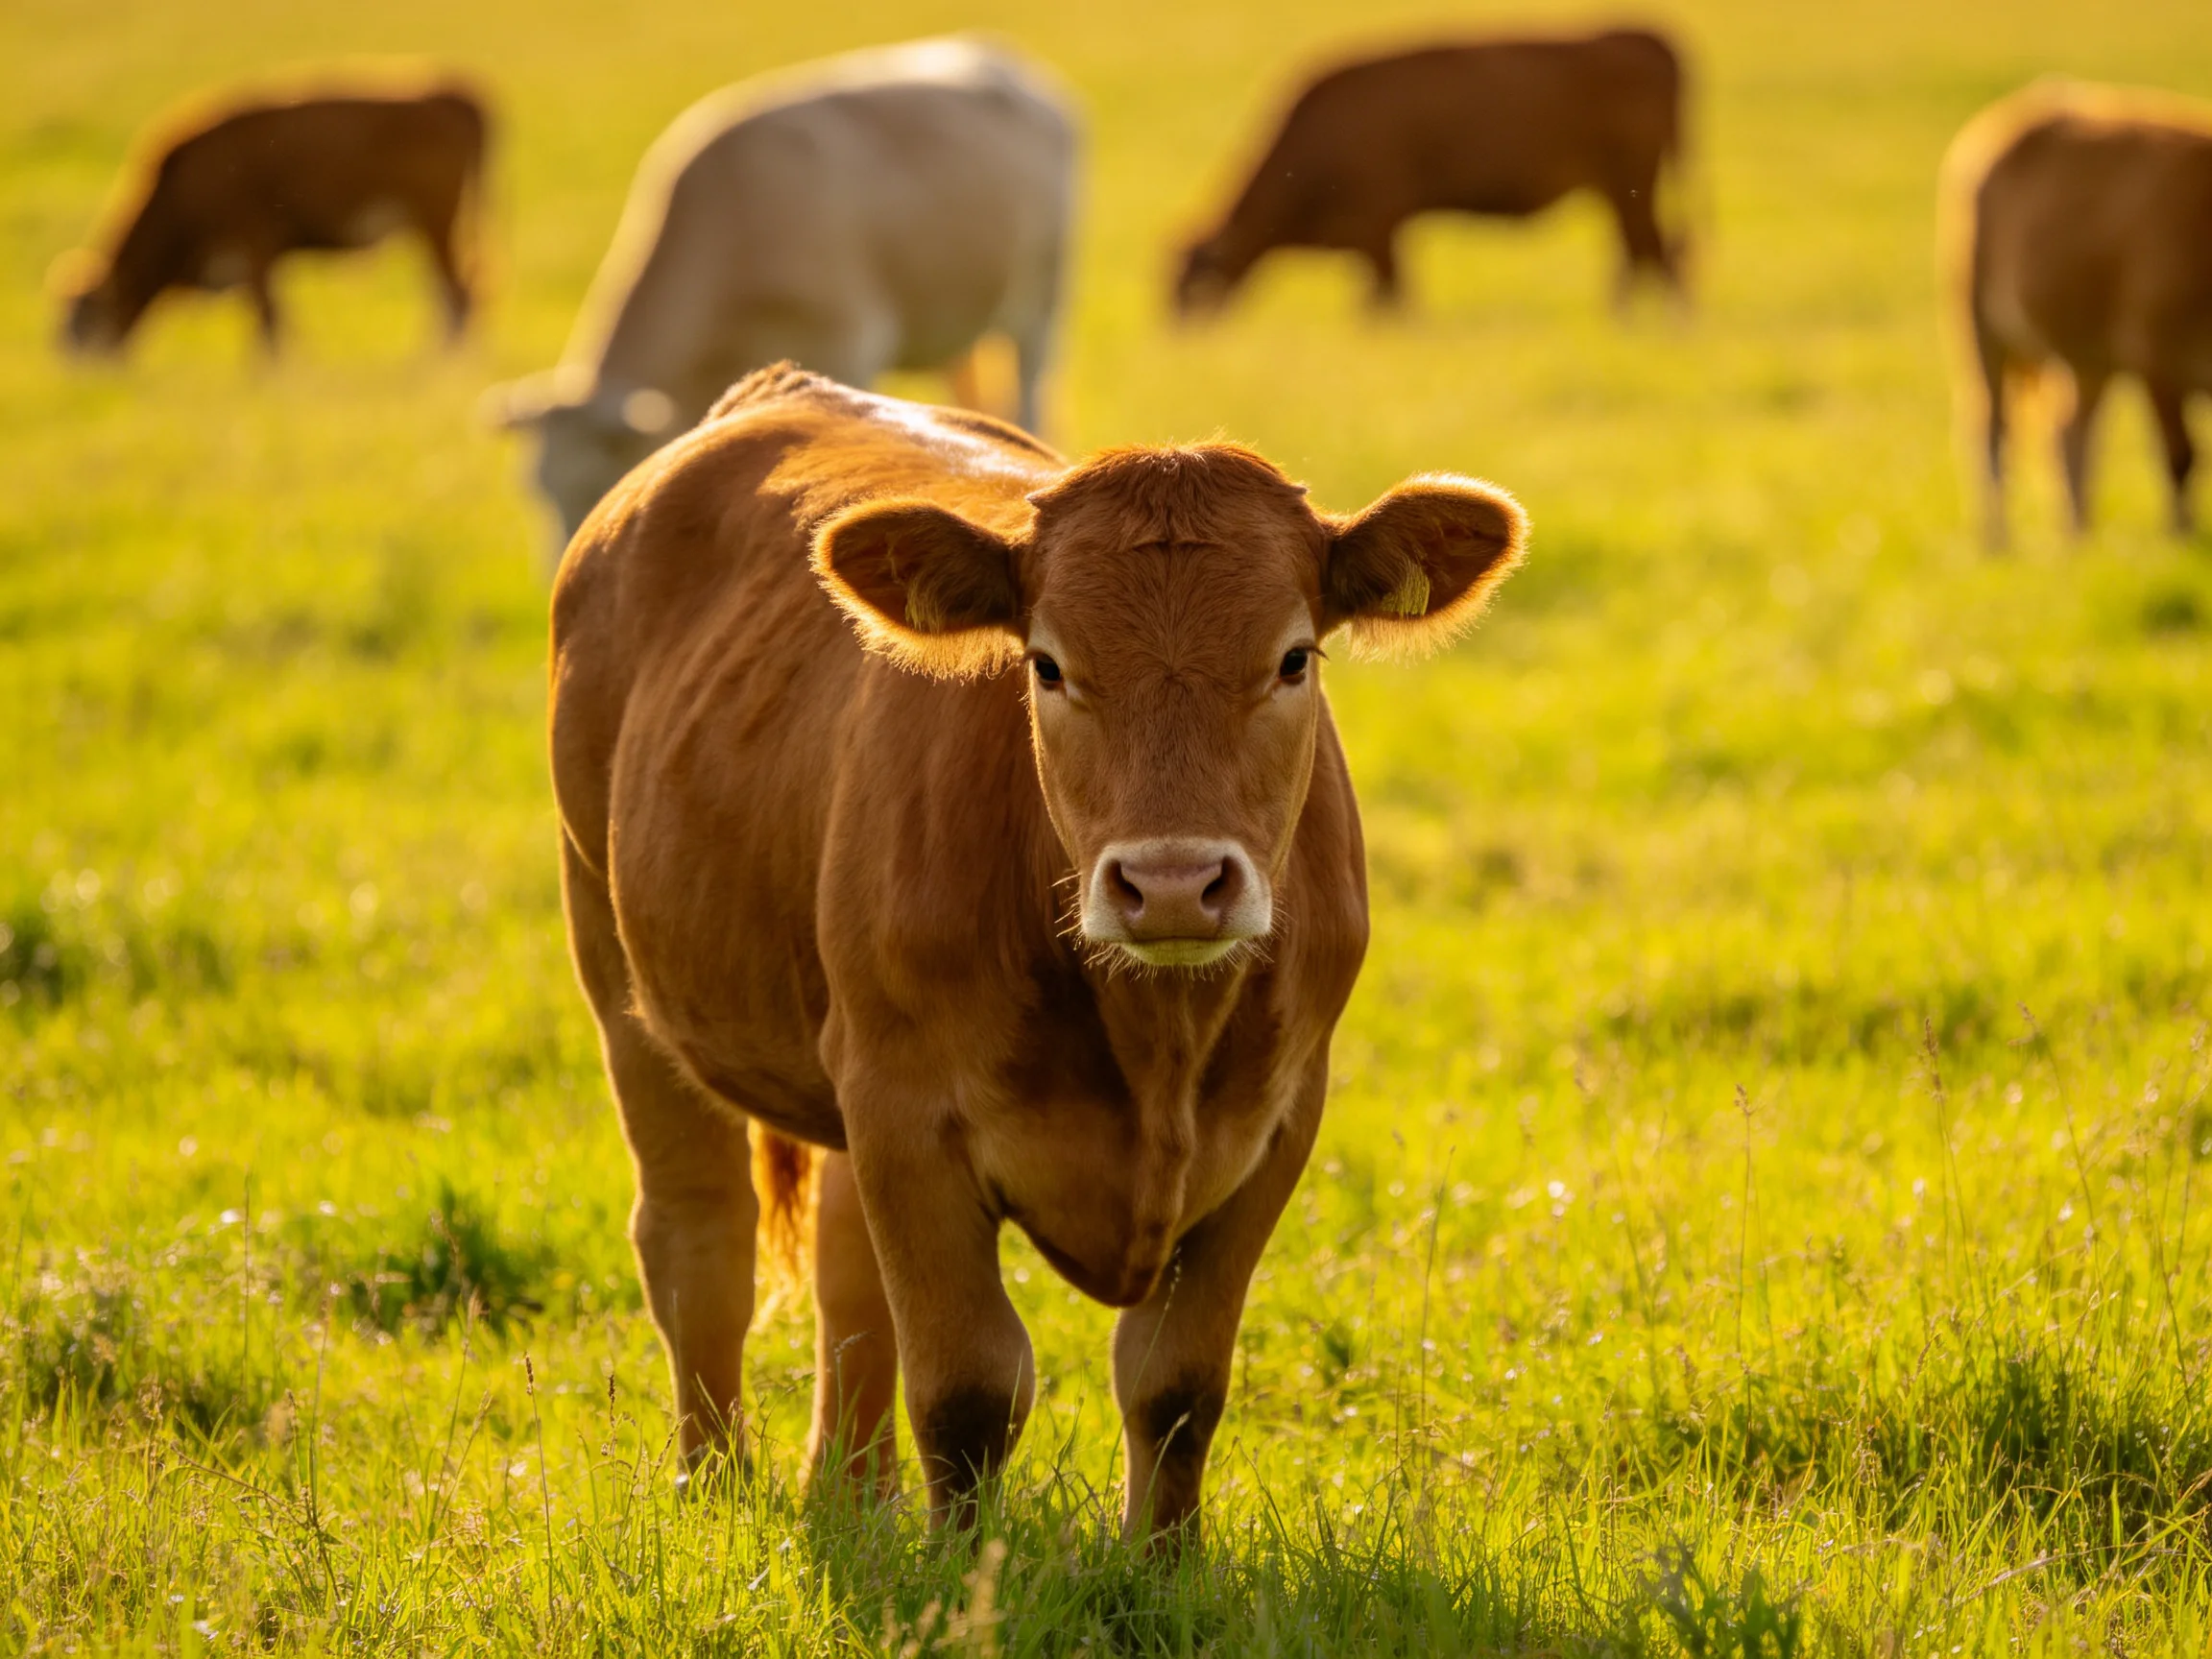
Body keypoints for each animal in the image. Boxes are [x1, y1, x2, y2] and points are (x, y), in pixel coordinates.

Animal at [54, 79, 488, 357]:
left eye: (80, 323)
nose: (67, 365)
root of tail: (451, 95)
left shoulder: (255, 244)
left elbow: (267, 323)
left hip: (436, 220)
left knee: (458, 295)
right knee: (447, 294)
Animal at [549, 364, 1527, 1542]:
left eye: (1294, 658)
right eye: (1049, 665)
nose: (1171, 883)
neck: (1156, 1039)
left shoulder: (1281, 1117)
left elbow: (1175, 1382)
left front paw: (1163, 1562)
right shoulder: (908, 1110)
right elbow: (969, 1387)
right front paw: (959, 1568)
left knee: (844, 1268)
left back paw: (857, 1493)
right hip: (619, 969)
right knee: (700, 1241)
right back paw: (718, 1486)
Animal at [1175, 29, 1688, 318]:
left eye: (1192, 289)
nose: (1179, 333)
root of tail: (1648, 40)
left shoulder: (1378, 229)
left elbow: (1390, 299)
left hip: (1628, 185)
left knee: (1653, 249)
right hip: (1621, 190)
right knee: (1646, 250)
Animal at [1941, 81, 2212, 545]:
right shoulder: (2155, 355)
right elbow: (2181, 456)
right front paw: (2183, 541)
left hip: (2087, 355)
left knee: (2070, 432)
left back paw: (2078, 539)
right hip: (1978, 321)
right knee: (1992, 428)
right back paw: (1998, 542)